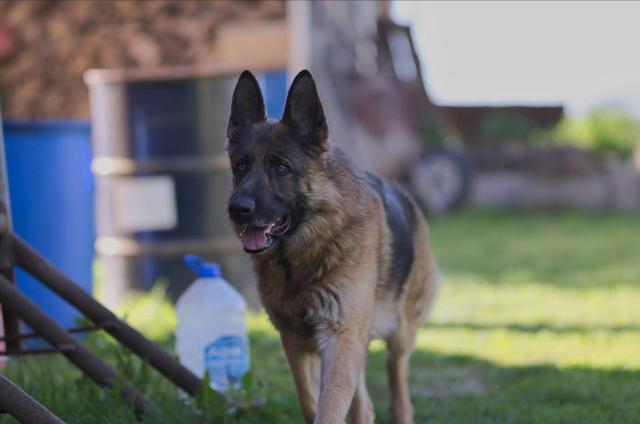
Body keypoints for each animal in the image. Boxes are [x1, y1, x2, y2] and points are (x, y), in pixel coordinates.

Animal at [225, 71, 440, 422]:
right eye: (241, 167)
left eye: (281, 167)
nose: (237, 209)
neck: (301, 257)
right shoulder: (295, 341)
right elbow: (310, 402)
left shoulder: (340, 337)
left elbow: (329, 409)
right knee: (364, 404)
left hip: (398, 334)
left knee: (398, 383)